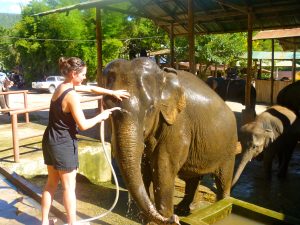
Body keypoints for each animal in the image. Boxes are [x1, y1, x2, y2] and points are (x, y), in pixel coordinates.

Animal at [102, 58, 238, 225]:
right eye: (107, 106)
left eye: (151, 108)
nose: (175, 219)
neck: (163, 76)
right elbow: (144, 166)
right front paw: (146, 219)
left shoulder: (177, 123)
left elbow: (163, 166)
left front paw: (158, 219)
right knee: (192, 176)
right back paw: (184, 209)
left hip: (229, 146)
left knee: (223, 179)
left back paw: (220, 204)